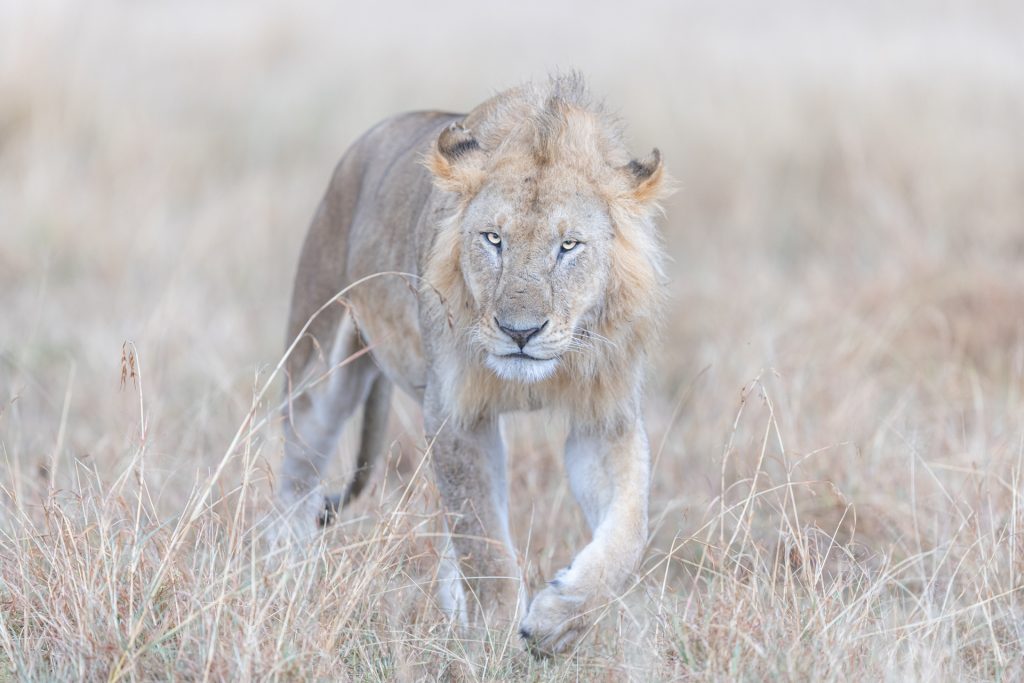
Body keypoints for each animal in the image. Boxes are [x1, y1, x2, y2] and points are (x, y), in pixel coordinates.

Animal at [277, 74, 668, 655]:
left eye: (568, 245)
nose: (520, 332)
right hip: (318, 361)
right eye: (493, 239)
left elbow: (628, 533)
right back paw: (280, 578)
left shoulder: (604, 419)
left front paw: (557, 621)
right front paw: (494, 638)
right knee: (295, 479)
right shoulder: (456, 412)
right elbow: (483, 540)